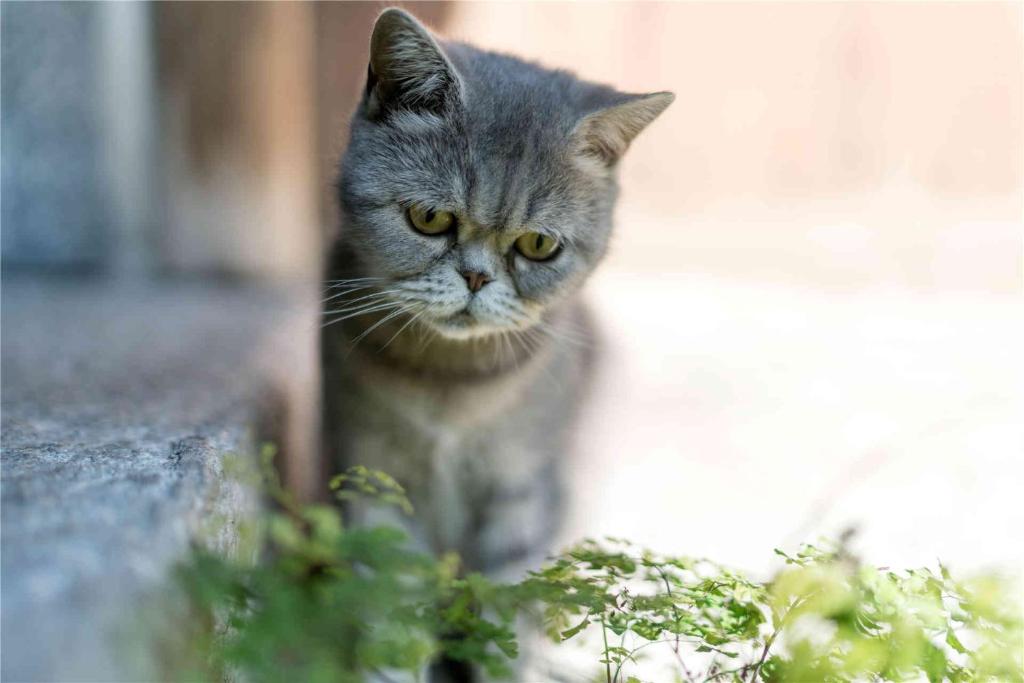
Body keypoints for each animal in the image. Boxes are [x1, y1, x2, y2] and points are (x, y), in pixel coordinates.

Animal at [321, 7, 671, 679]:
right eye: (429, 218)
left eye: (539, 245)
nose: (477, 278)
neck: (449, 384)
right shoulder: (376, 483)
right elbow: (391, 617)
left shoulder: (521, 492)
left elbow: (503, 619)